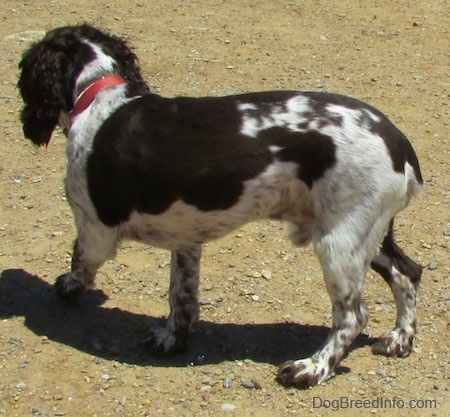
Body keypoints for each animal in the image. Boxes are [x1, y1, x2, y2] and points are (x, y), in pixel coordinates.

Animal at [18, 25, 426, 386]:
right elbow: (181, 298)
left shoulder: (94, 230)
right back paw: (400, 339)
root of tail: (399, 142)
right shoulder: (186, 242)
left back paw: (311, 368)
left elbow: (79, 263)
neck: (99, 97)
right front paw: (171, 340)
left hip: (339, 243)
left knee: (352, 316)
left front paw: (67, 287)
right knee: (408, 272)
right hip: (364, 233)